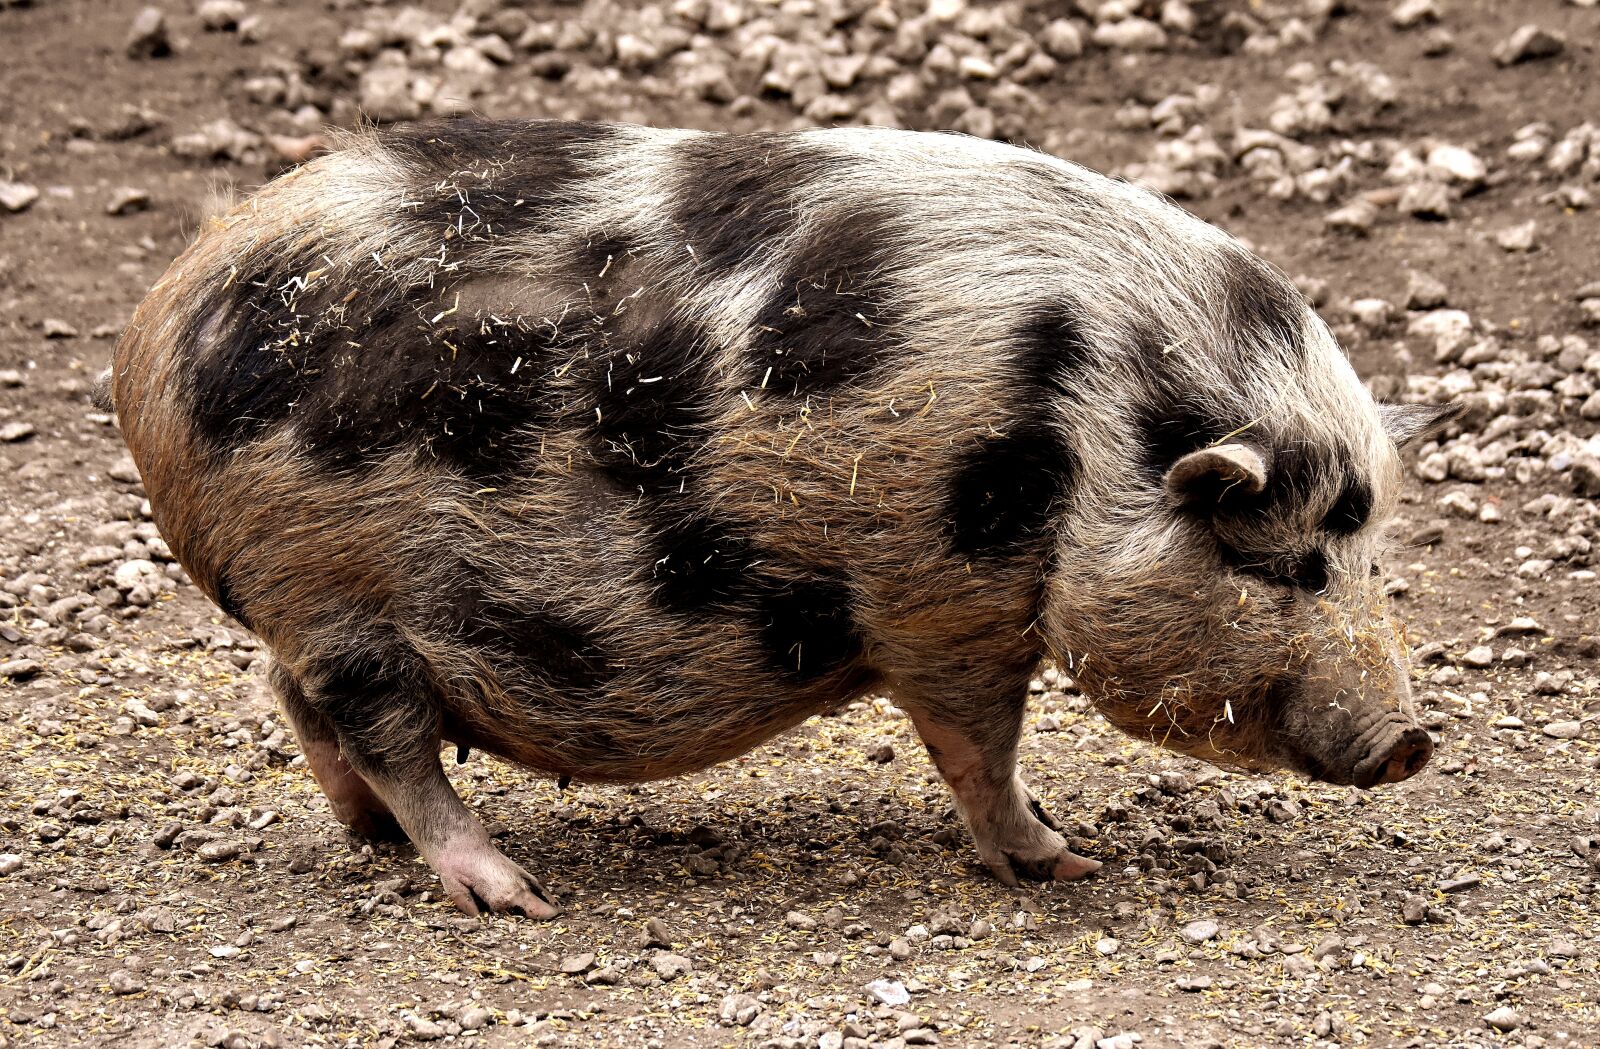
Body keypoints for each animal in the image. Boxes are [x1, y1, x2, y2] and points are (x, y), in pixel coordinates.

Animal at [105, 120, 1453, 918]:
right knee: (385, 731)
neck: (1084, 432)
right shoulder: (940, 601)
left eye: (1369, 552)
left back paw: (371, 839)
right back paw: (512, 890)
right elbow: (979, 745)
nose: (1411, 741)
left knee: (301, 703)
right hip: (334, 590)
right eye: (1289, 563)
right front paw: (1067, 860)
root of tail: (152, 331)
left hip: (311, 604)